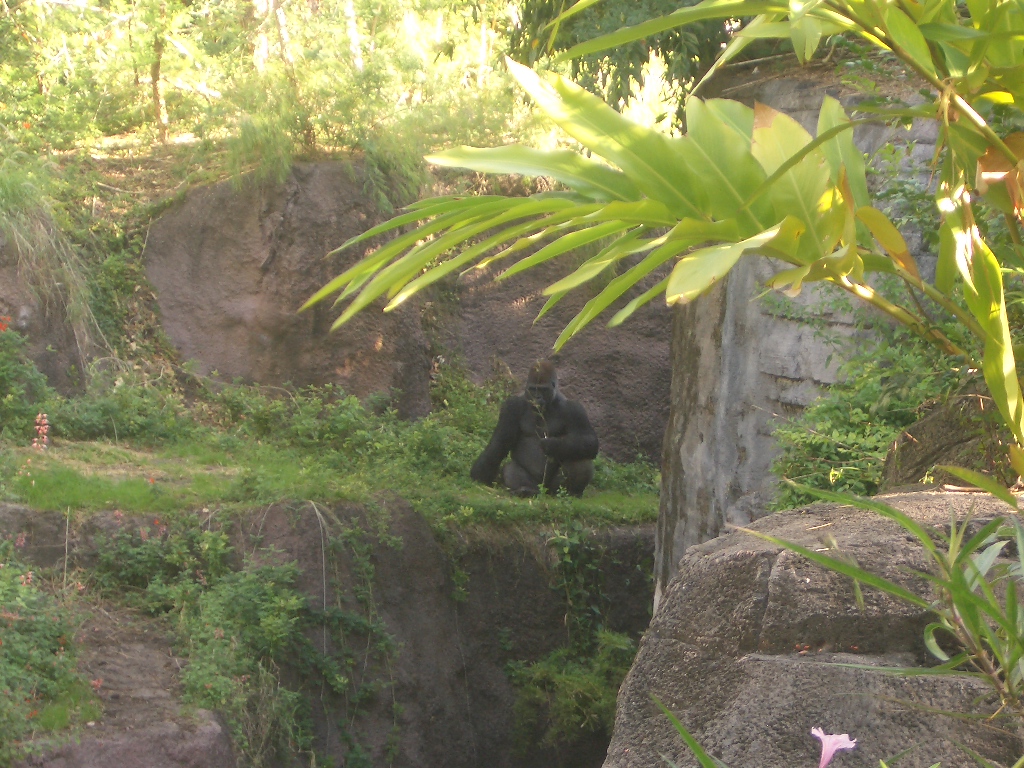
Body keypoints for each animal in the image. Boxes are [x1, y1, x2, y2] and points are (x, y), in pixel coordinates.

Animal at [470, 360, 598, 497]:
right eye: (532, 389)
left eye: (543, 389)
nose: (537, 397)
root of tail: (543, 491)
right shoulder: (511, 406)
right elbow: (499, 443)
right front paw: (479, 475)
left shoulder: (575, 409)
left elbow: (589, 440)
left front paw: (551, 444)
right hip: (535, 484)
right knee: (510, 469)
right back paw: (526, 490)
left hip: (551, 489)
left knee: (580, 459)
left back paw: (571, 493)